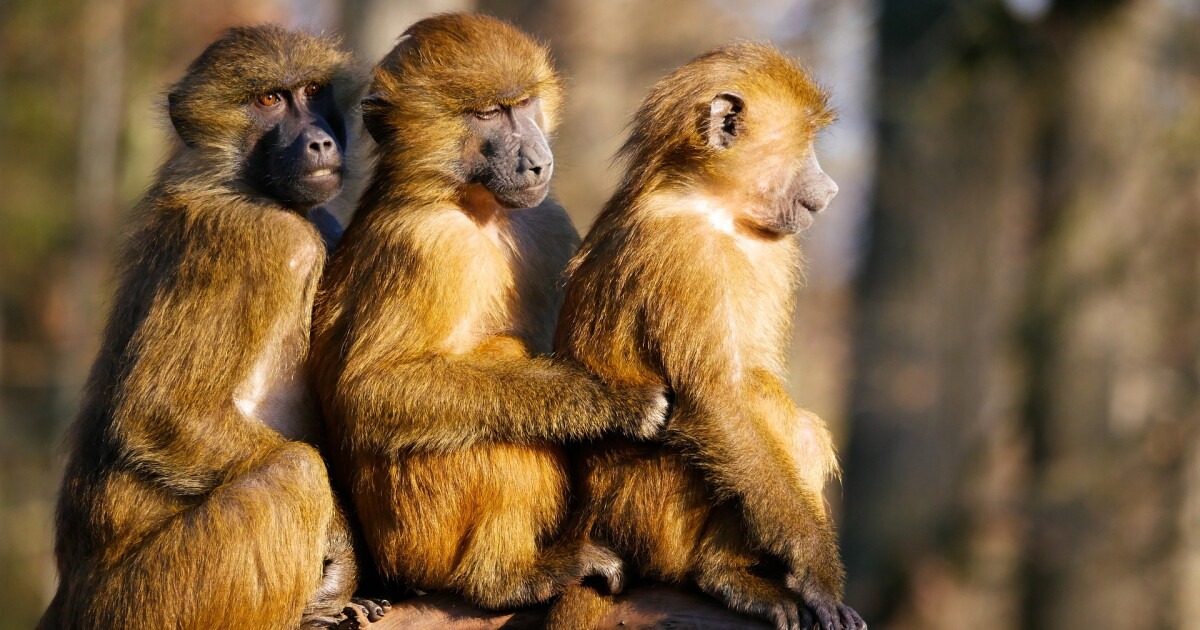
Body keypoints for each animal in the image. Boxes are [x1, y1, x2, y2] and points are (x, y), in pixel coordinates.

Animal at [35, 25, 383, 630]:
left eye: (314, 91)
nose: (319, 142)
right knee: (294, 470)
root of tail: (71, 598)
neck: (239, 182)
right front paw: (344, 555)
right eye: (268, 100)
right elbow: (160, 410)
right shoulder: (255, 238)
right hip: (151, 602)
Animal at [309, 13, 668, 611]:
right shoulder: (424, 245)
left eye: (522, 104)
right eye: (486, 114)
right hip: (417, 532)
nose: (538, 163)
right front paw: (609, 400)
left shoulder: (546, 216)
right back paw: (506, 577)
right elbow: (371, 391)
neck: (476, 207)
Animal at [544, 43, 867, 630]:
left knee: (792, 420)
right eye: (807, 143)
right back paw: (723, 576)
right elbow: (718, 402)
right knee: (751, 403)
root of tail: (591, 519)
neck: (714, 206)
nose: (831, 190)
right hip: (645, 514)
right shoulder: (681, 253)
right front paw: (816, 571)